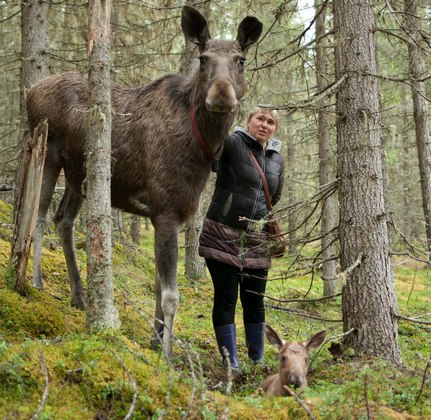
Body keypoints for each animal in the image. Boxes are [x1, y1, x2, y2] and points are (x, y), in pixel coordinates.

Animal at [27, 5, 264, 354]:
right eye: (203, 58)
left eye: (241, 60)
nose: (222, 95)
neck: (202, 147)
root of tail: (29, 92)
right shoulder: (165, 210)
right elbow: (170, 296)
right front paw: (167, 354)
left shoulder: (167, 215)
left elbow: (156, 285)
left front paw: (155, 339)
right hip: (48, 154)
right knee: (40, 215)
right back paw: (36, 282)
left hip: (80, 177)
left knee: (63, 220)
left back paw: (80, 296)